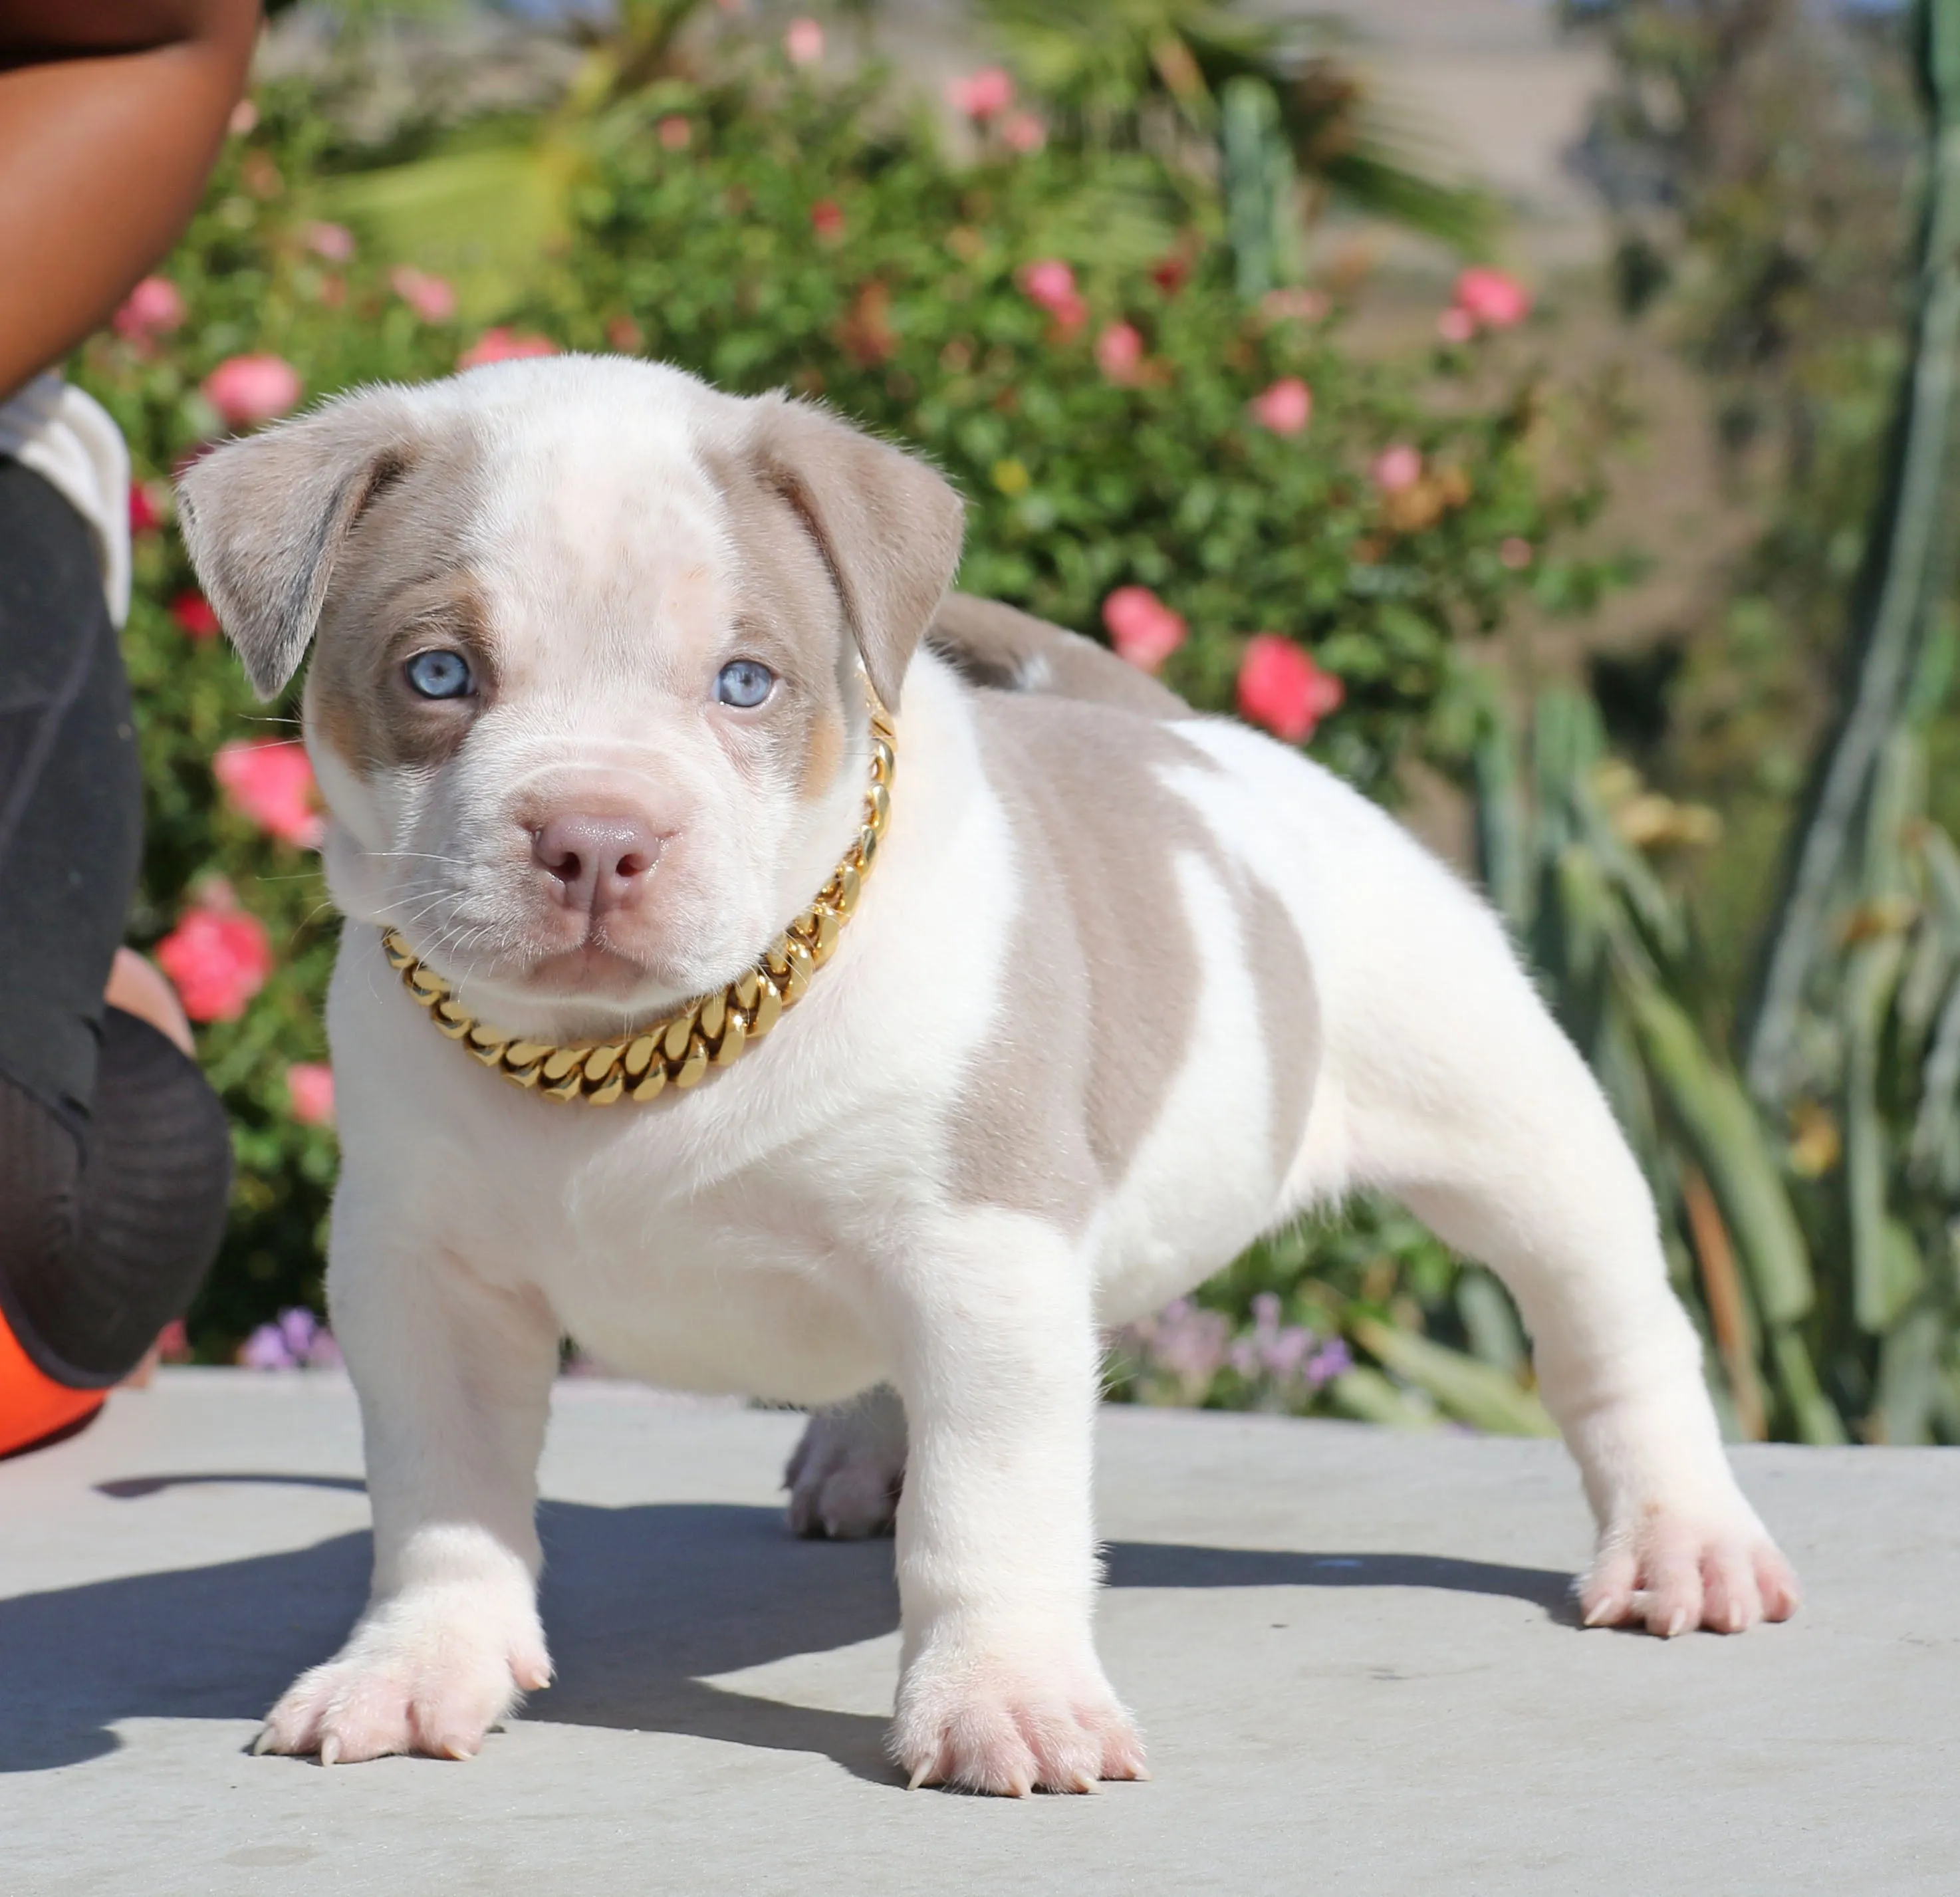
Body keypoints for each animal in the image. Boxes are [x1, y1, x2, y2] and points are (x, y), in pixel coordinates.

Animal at [176, 352, 1795, 1795]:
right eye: (438, 673)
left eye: (744, 681)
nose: (593, 837)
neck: (627, 1056)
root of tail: (1197, 741)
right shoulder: (424, 1278)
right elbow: (441, 1498)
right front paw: (416, 1662)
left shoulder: (978, 1258)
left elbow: (988, 1513)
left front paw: (1000, 1701)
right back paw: (856, 1454)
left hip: (1517, 1130)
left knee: (1611, 1334)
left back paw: (1681, 1539)